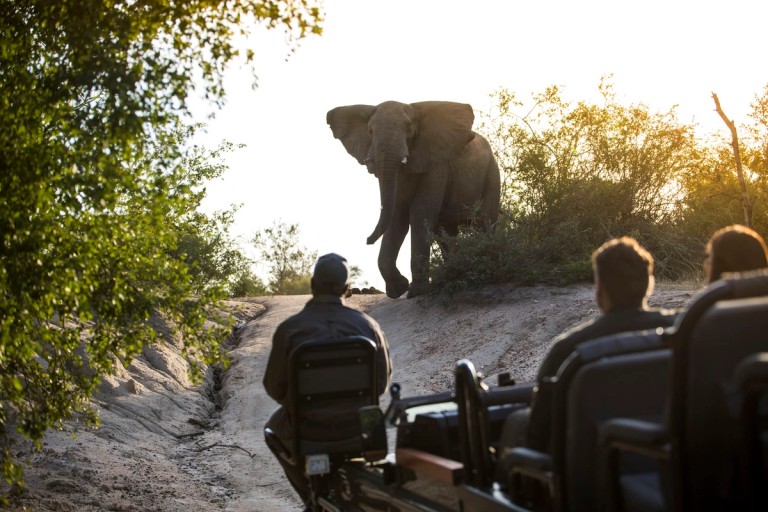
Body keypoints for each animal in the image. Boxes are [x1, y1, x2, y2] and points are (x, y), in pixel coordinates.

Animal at [327, 100, 500, 299]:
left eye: (409, 129)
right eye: (370, 131)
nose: (367, 240)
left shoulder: (436, 166)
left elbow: (420, 215)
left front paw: (416, 292)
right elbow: (397, 218)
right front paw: (398, 289)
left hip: (492, 174)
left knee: (485, 222)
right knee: (445, 233)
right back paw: (452, 276)